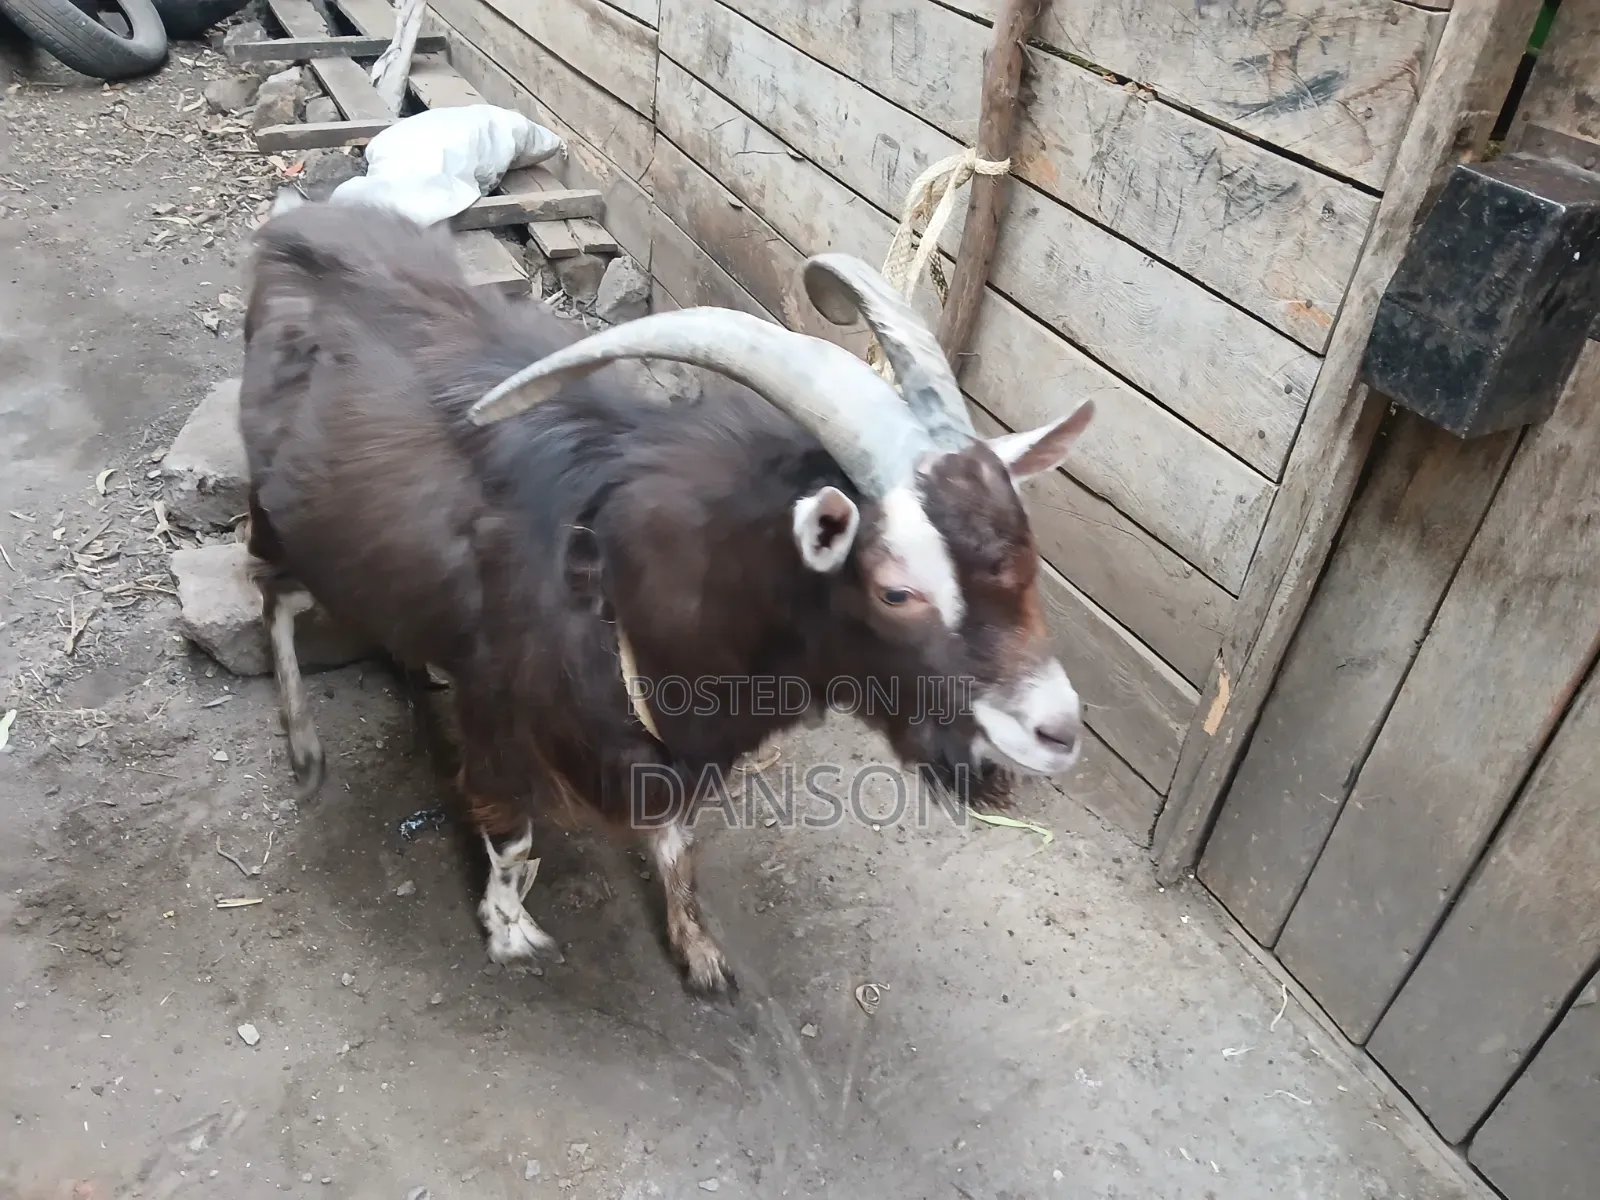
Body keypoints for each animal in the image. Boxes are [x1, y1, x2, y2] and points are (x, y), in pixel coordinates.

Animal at [237, 200, 1095, 996]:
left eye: (1027, 554)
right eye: (896, 588)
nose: (1057, 731)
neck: (616, 580)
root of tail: (292, 228)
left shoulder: (674, 747)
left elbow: (679, 840)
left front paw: (698, 949)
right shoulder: (499, 710)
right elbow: (512, 835)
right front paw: (510, 932)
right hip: (280, 520)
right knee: (273, 596)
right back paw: (305, 751)